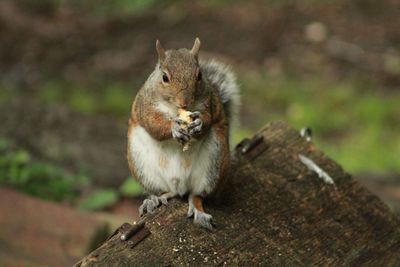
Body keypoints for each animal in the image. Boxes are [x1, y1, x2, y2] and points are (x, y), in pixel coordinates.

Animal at [126, 38, 239, 230]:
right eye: (164, 77)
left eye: (199, 75)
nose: (185, 102)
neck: (174, 109)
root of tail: (179, 184)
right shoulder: (146, 106)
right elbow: (154, 125)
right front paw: (174, 128)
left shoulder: (209, 103)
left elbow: (208, 118)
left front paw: (199, 123)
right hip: (142, 164)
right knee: (167, 191)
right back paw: (155, 199)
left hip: (214, 162)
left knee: (196, 195)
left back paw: (199, 211)